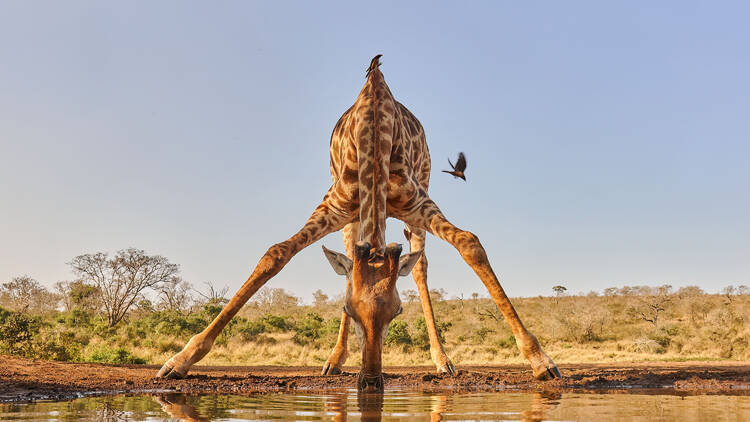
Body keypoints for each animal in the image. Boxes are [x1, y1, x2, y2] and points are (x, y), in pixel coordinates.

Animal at [156, 55, 560, 386]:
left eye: (398, 311)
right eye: (349, 309)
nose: (370, 380)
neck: (374, 131)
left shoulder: (416, 200)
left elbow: (469, 242)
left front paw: (540, 360)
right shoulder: (334, 205)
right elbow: (276, 253)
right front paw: (179, 360)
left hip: (419, 193)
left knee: (420, 266)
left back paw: (442, 360)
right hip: (351, 218)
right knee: (349, 260)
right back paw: (334, 361)